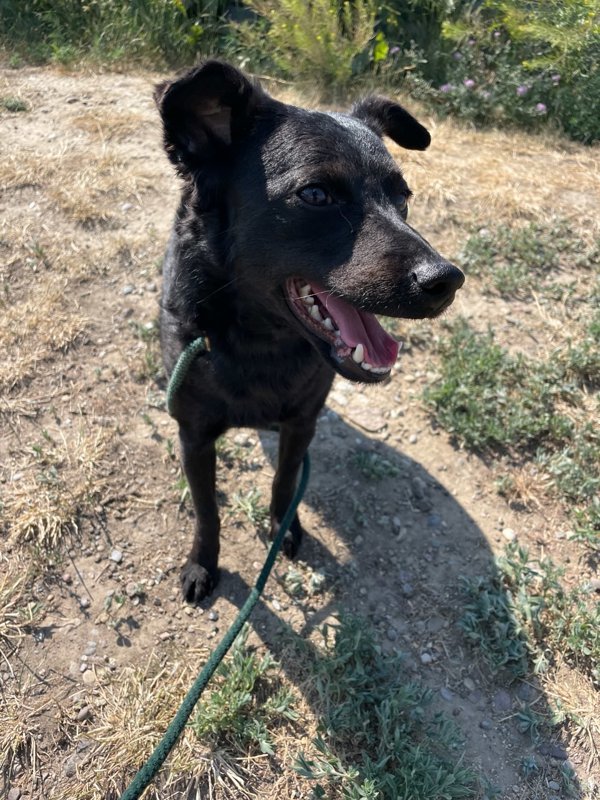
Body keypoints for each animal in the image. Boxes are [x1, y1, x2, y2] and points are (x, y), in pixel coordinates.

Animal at [156, 61, 464, 600]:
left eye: (403, 196)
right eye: (316, 194)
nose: (446, 280)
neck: (259, 342)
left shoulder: (302, 422)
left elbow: (284, 481)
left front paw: (283, 528)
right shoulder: (193, 434)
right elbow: (206, 510)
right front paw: (202, 564)